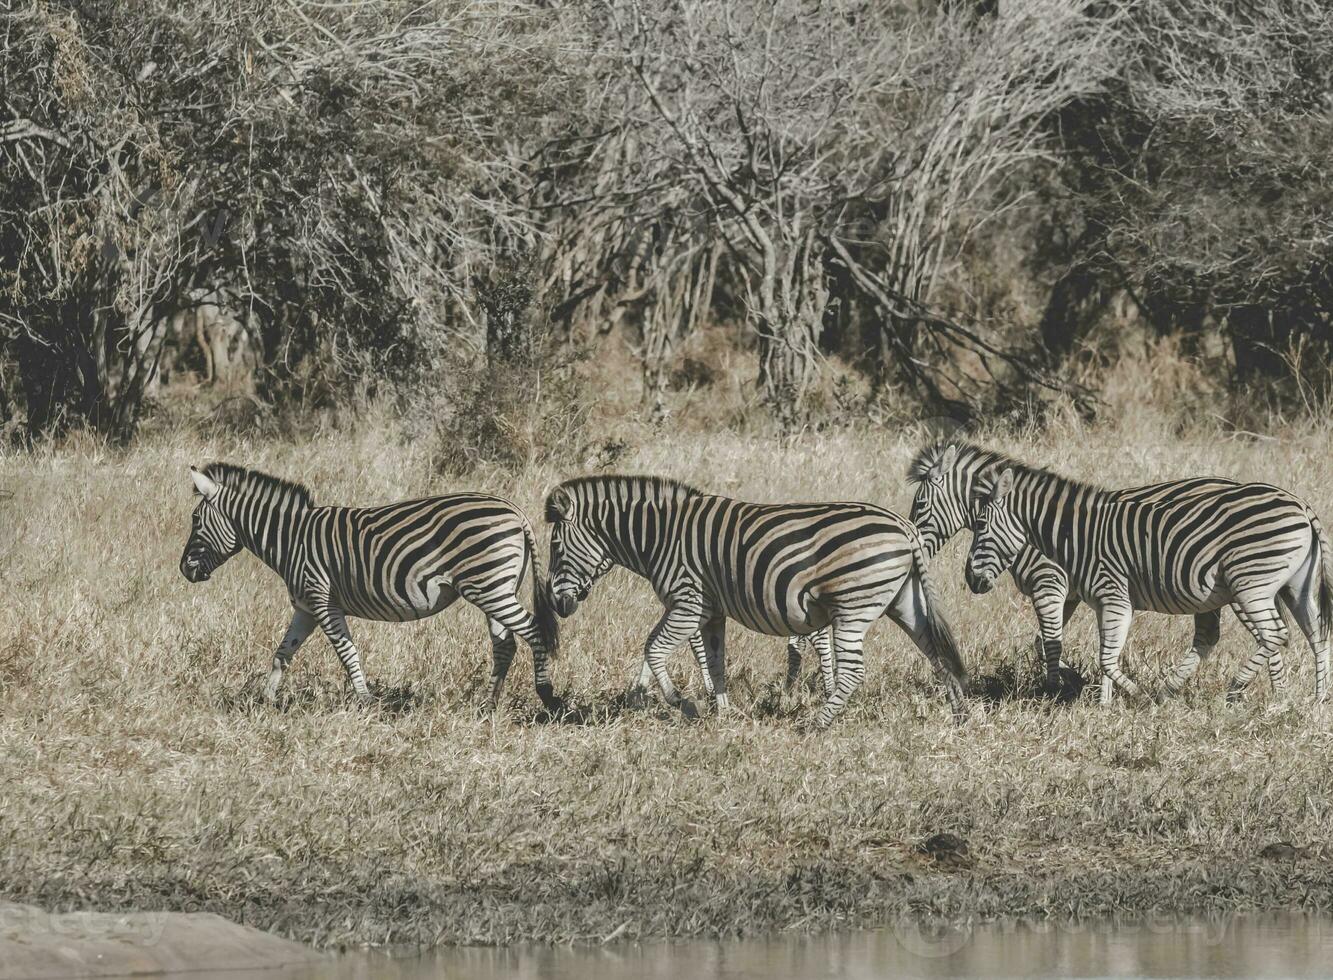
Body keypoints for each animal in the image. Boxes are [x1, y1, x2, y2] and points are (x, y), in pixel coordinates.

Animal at [178, 466, 562, 714]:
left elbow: (347, 652)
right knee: (505, 644)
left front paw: (365, 703)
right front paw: (265, 701)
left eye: (195, 520)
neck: (290, 539)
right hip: (494, 588)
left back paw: (547, 697)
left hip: (490, 587)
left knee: (532, 630)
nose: (184, 569)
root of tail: (514, 511)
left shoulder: (323, 601)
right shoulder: (304, 608)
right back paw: (488, 705)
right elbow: (282, 653)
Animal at [541, 474, 970, 730]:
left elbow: (654, 647)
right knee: (936, 651)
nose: (558, 605)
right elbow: (713, 660)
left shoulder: (688, 602)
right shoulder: (710, 611)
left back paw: (816, 724)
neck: (659, 536)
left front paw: (682, 703)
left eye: (557, 547)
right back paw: (959, 713)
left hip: (853, 607)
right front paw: (719, 710)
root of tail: (905, 526)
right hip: (905, 600)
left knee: (853, 672)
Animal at [911, 445, 1231, 698]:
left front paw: (1055, 690)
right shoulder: (1070, 594)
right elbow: (1045, 643)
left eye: (920, 504)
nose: (912, 545)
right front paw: (1083, 685)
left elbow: (1052, 643)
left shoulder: (1048, 583)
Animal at [965, 458, 1327, 704]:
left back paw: (1235, 687)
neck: (1078, 535)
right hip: (1295, 586)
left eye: (980, 523)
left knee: (1275, 633)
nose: (970, 579)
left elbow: (1104, 657)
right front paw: (1102, 701)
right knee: (1316, 634)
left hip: (1250, 584)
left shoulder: (1108, 594)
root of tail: (1300, 505)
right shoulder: (1101, 601)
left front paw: (1133, 696)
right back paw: (1317, 699)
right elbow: (1102, 653)